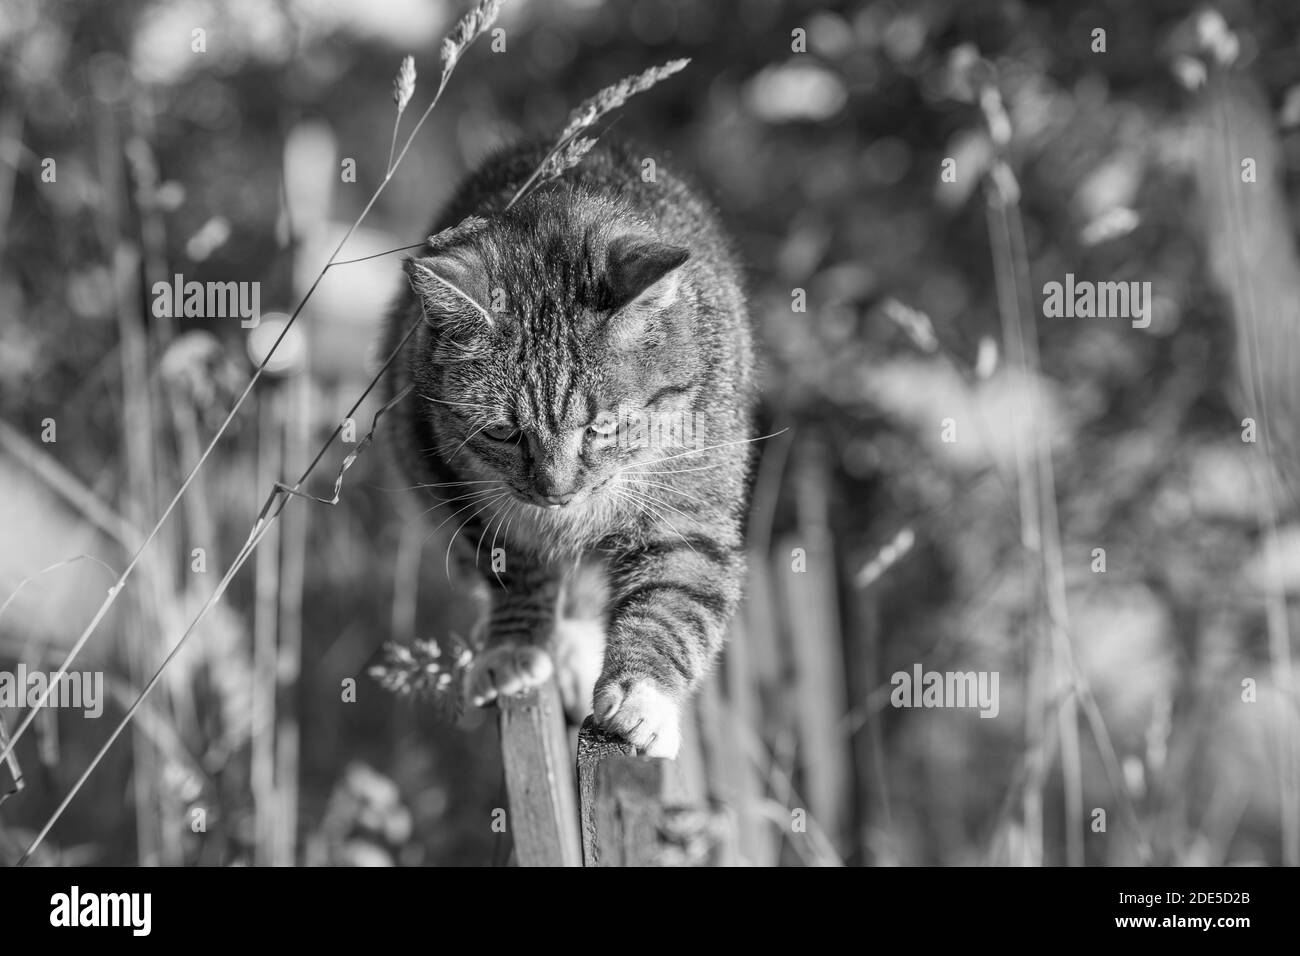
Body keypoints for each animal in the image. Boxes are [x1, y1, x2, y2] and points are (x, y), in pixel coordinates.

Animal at [379, 136, 759, 754]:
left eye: (602, 427)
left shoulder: (691, 510)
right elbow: (515, 570)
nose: (555, 493)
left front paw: (642, 697)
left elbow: (673, 600)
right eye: (503, 431)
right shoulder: (455, 483)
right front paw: (515, 645)